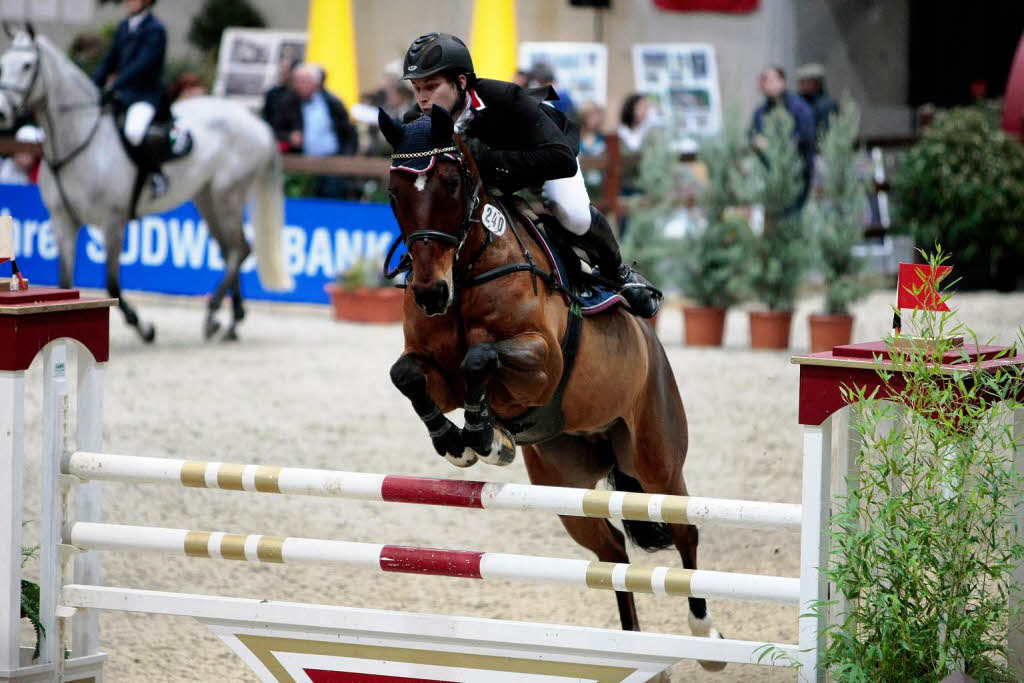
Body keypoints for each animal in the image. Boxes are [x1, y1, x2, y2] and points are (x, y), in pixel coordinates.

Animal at [382, 104, 729, 671]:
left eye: (452, 183)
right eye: (393, 191)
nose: (431, 292)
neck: (468, 271)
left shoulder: (541, 363)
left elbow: (482, 358)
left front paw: (485, 437)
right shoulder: (439, 375)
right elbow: (408, 375)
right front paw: (458, 442)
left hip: (655, 461)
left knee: (685, 530)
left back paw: (706, 639)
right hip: (567, 486)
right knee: (612, 555)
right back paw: (630, 645)